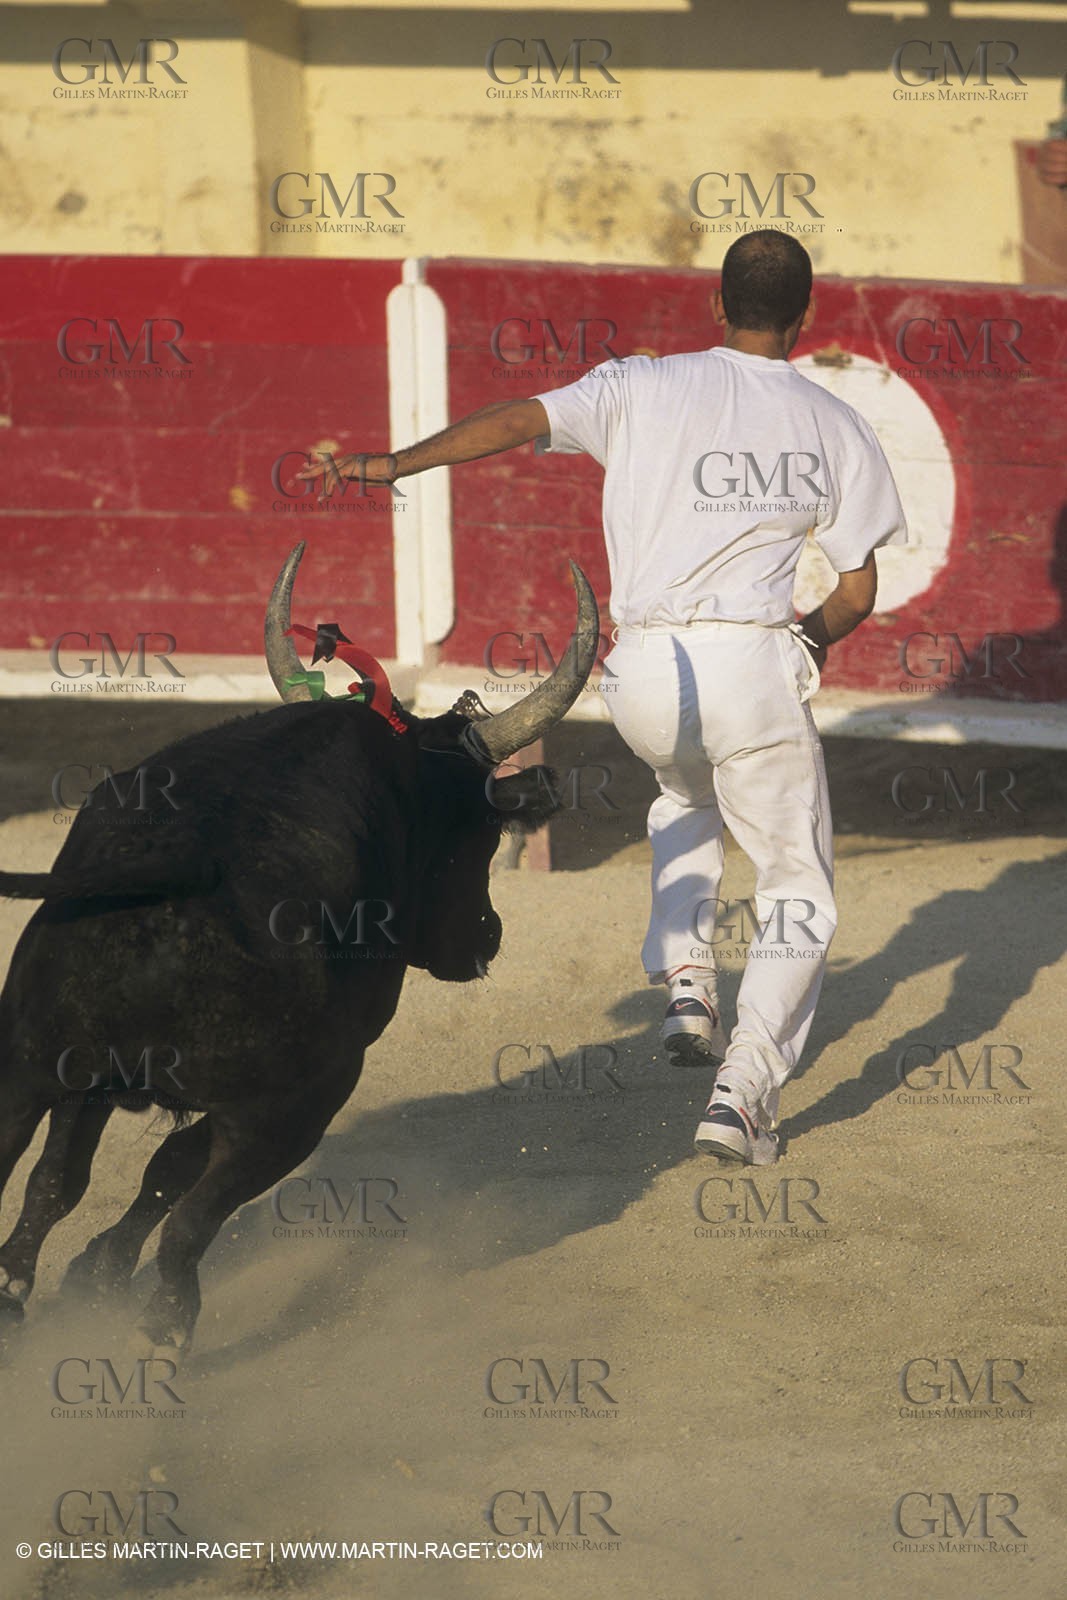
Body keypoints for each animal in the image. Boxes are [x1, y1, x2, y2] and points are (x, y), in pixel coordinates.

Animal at [0, 543, 599, 1353]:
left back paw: (24, 1296)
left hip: (27, 1063)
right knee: (192, 1218)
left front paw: (79, 1275)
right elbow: (169, 1173)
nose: (489, 935)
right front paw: (102, 1274)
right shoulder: (285, 1093)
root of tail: (183, 861)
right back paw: (165, 1329)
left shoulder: (82, 1079)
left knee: (46, 1172)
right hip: (294, 1109)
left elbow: (69, 1180)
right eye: (483, 833)